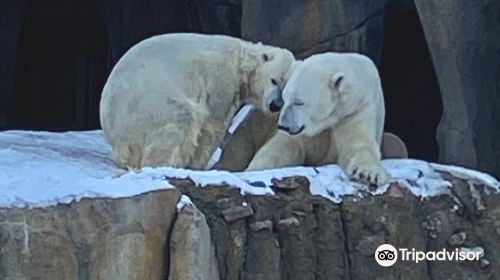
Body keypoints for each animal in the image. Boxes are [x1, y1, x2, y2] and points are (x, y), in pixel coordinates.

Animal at [99, 32, 294, 168]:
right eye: (274, 80)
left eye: (287, 90)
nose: (275, 105)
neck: (240, 61)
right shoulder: (220, 77)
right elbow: (212, 124)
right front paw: (196, 164)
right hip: (150, 107)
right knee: (179, 118)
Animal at [246, 52, 390, 186]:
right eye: (285, 99)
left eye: (299, 102)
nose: (283, 126)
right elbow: (282, 147)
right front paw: (254, 170)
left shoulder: (355, 108)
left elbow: (357, 143)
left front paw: (367, 174)